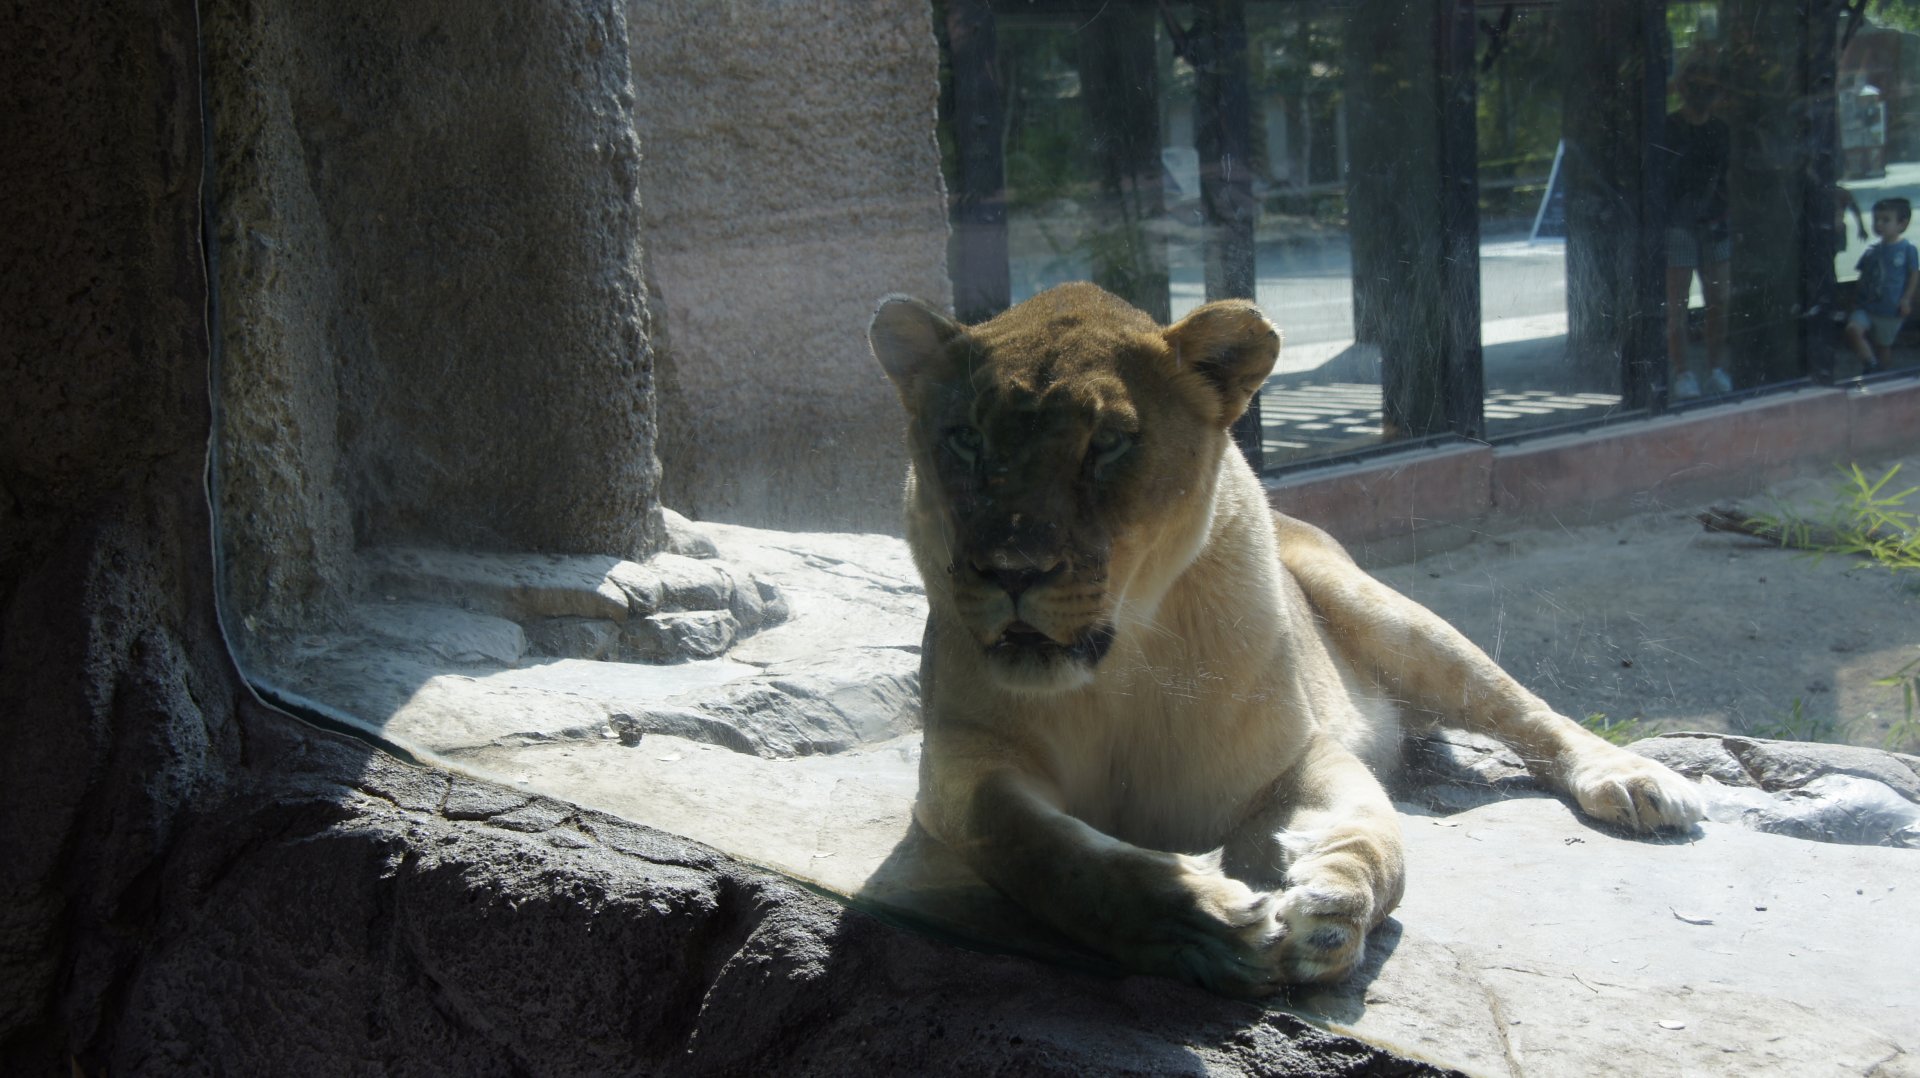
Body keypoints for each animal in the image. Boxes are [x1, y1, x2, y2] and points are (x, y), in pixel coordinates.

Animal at [866, 282, 1703, 996]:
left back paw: (1635, 781)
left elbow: (1379, 840)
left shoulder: (1295, 756)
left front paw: (1332, 910)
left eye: (1109, 443)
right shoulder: (962, 773)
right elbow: (1049, 855)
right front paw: (1197, 921)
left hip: (1393, 617)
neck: (1119, 670)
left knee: (1529, 711)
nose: (1011, 569)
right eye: (965, 440)